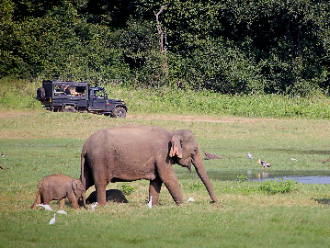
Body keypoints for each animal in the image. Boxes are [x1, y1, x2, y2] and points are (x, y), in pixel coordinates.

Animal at [81, 126, 218, 205]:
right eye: (195, 150)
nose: (214, 202)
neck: (172, 133)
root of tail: (85, 146)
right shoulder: (162, 155)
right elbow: (168, 178)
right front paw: (182, 204)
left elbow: (156, 181)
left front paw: (153, 205)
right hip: (100, 160)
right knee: (100, 182)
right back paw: (102, 204)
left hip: (90, 161)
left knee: (85, 181)